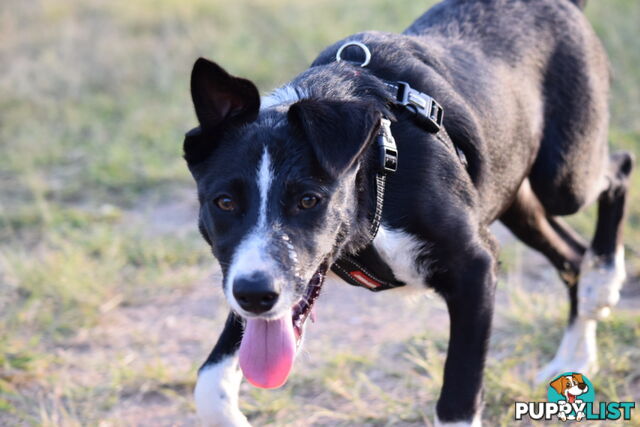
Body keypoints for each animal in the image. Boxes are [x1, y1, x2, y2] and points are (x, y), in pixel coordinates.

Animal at [182, 0, 632, 424]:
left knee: (619, 169)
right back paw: (574, 357)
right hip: (516, 195)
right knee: (572, 255)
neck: (378, 168)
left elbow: (457, 402)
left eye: (309, 200)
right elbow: (209, 383)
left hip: (563, 176)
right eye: (224, 202)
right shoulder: (249, 283)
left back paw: (603, 283)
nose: (255, 295)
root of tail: (565, 4)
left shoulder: (476, 266)